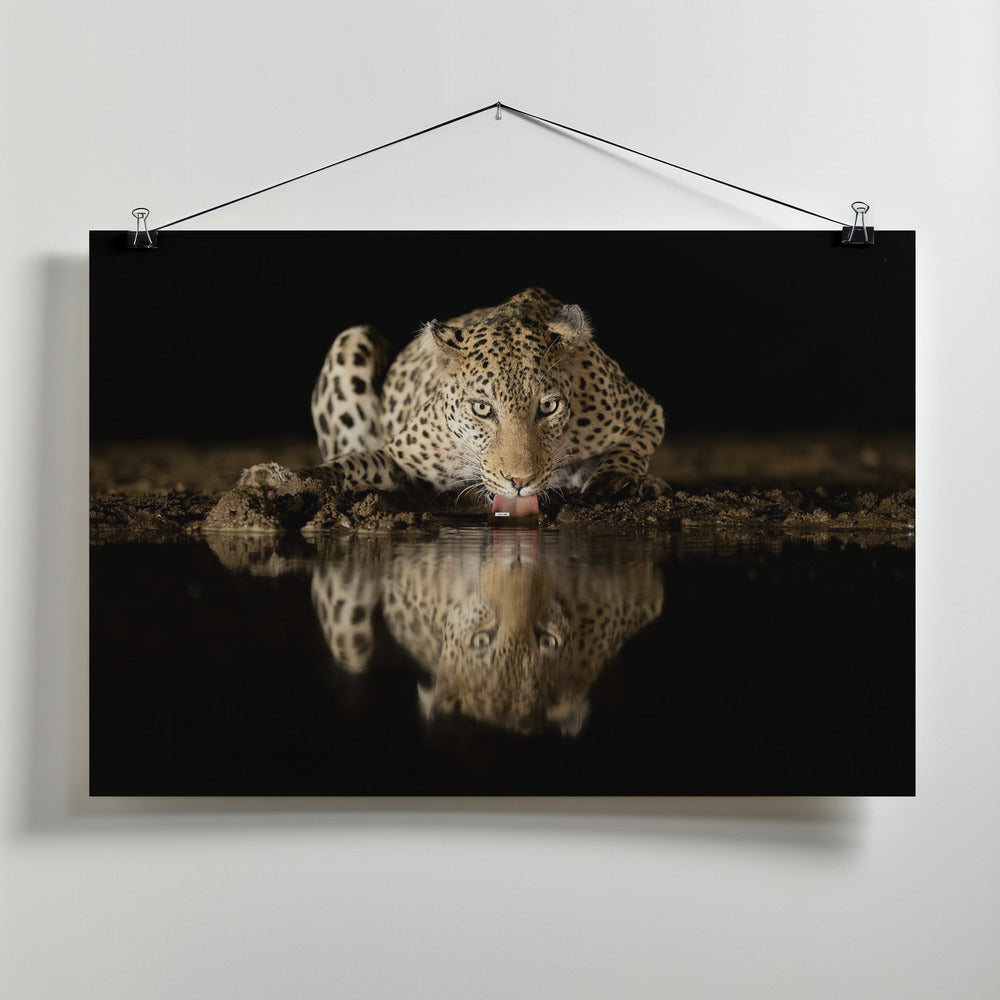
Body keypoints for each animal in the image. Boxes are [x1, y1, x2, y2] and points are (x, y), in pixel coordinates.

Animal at [241, 287, 666, 512]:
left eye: (548, 407)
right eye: (482, 408)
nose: (519, 482)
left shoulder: (646, 410)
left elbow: (633, 447)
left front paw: (618, 480)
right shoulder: (401, 460)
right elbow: (351, 464)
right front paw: (280, 481)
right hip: (352, 338)